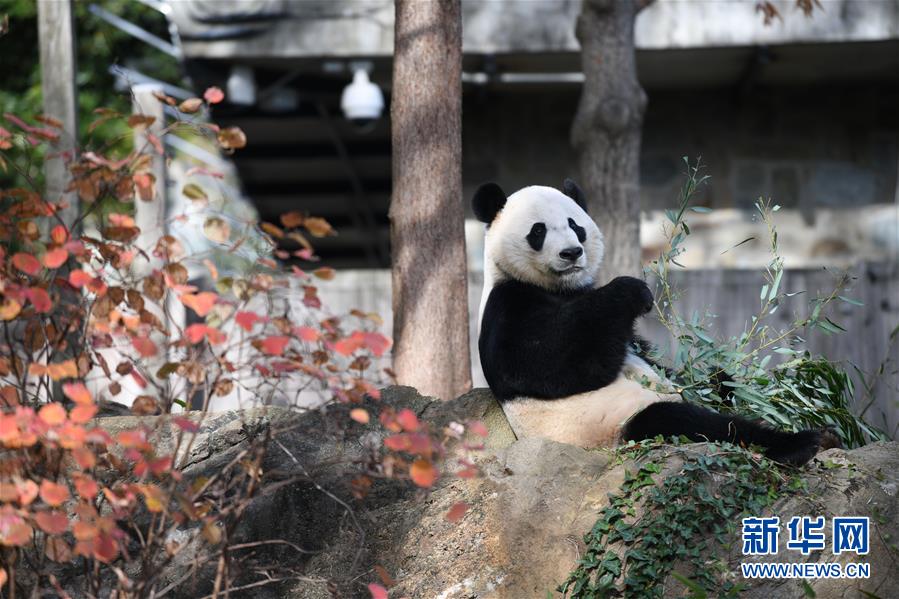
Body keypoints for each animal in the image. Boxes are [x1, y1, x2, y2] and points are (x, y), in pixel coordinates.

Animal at [474, 180, 828, 466]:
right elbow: (549, 361)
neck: (560, 288)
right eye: (538, 231)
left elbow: (644, 352)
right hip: (612, 426)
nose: (571, 253)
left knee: (718, 385)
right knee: (685, 421)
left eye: (575, 226)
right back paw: (797, 444)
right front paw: (635, 293)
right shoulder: (509, 304)